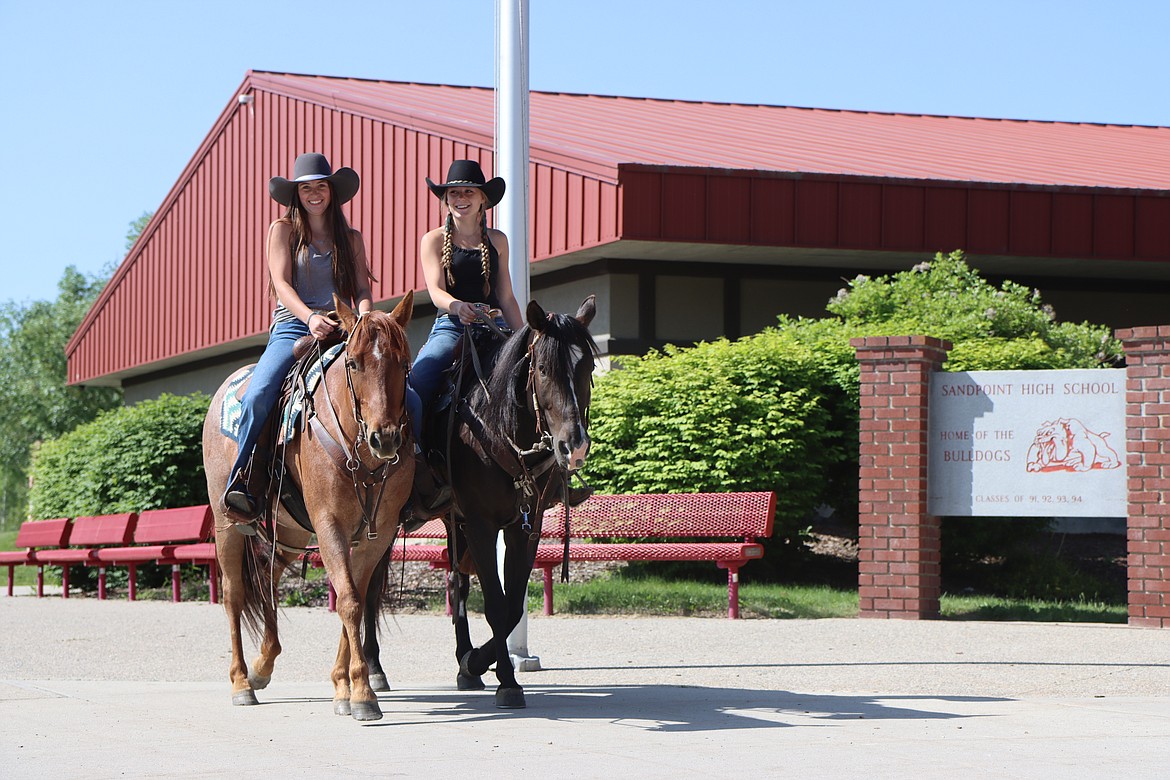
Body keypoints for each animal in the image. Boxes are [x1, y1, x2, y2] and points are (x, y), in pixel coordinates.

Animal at [203, 291, 414, 720]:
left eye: (404, 363)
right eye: (353, 363)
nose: (384, 438)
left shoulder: (376, 534)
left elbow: (354, 596)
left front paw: (344, 687)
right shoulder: (330, 524)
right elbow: (349, 601)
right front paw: (362, 693)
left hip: (291, 531)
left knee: (268, 578)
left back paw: (263, 665)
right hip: (226, 524)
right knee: (234, 595)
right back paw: (241, 682)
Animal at [432, 294, 599, 706]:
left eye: (587, 366)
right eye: (542, 368)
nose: (573, 447)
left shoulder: (525, 526)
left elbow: (511, 606)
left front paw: (479, 663)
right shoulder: (480, 524)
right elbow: (495, 603)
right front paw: (503, 678)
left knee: (458, 581)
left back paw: (465, 659)